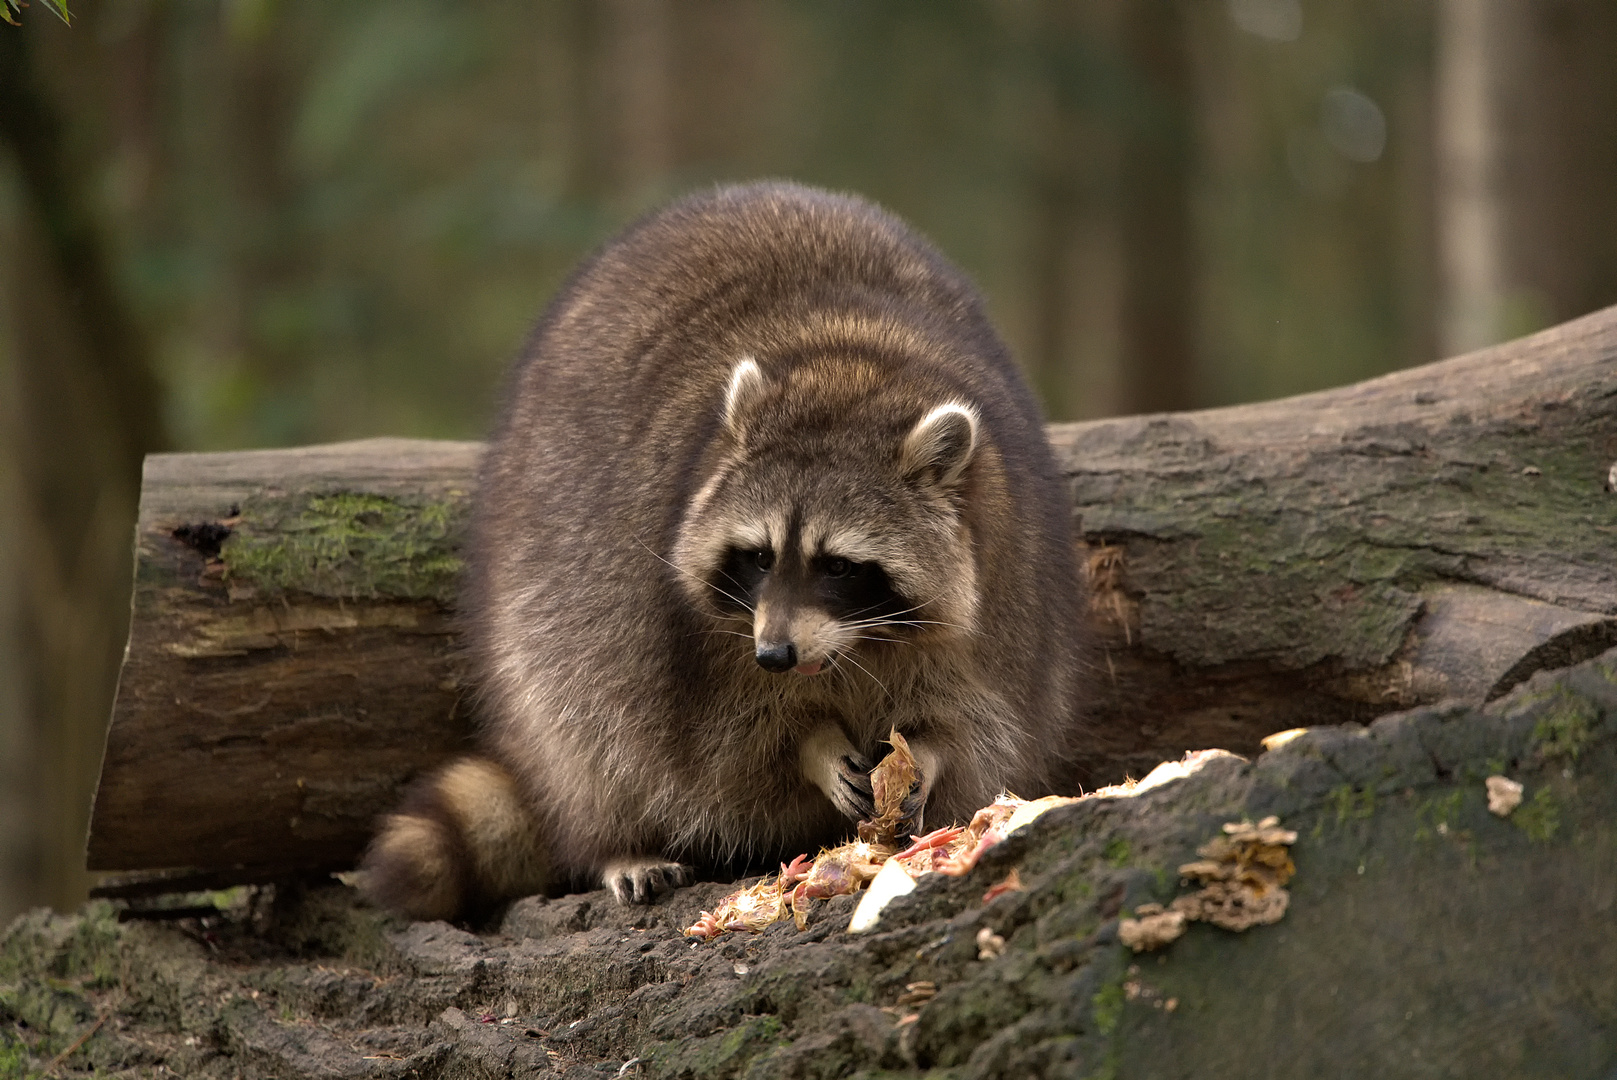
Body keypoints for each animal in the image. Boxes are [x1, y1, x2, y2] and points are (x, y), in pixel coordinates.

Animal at [362, 179, 1093, 918]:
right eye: (760, 556)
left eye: (838, 566)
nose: (774, 655)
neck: (850, 364)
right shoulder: (692, 634)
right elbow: (730, 735)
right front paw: (810, 744)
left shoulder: (1008, 582)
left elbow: (974, 715)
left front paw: (928, 752)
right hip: (543, 561)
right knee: (584, 714)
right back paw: (615, 841)